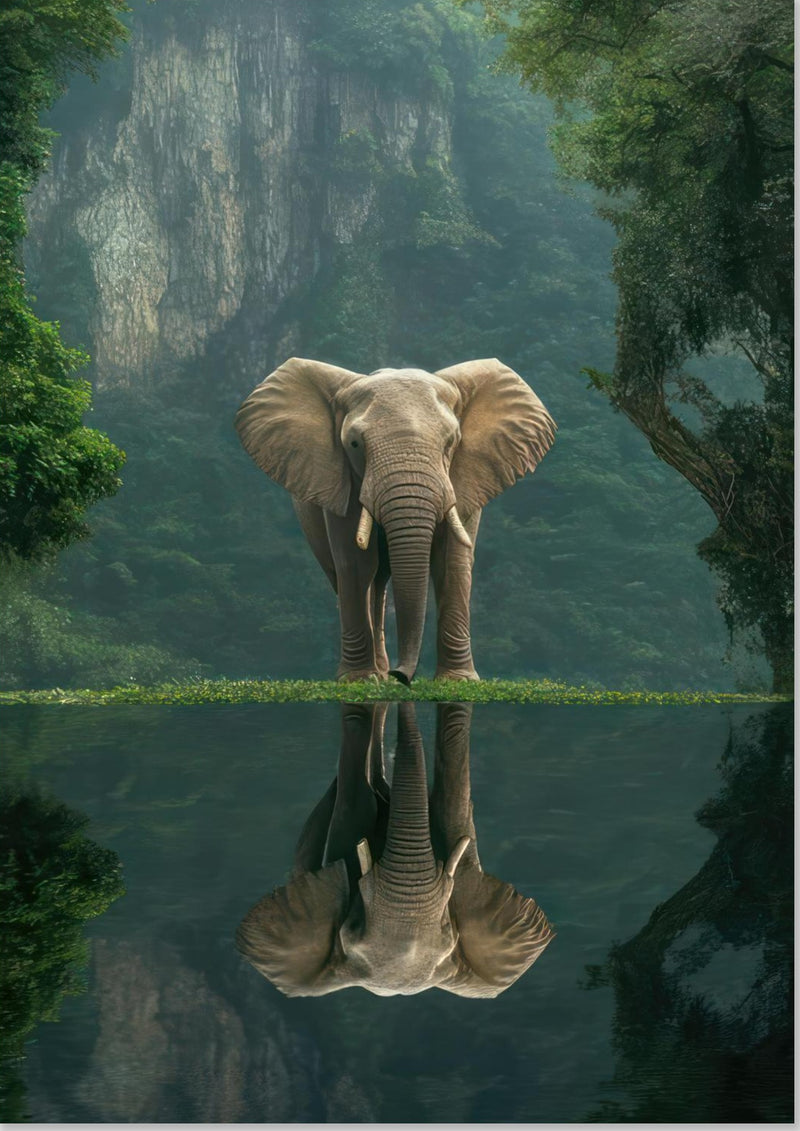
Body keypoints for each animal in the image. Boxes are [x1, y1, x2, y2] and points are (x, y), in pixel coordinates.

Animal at [235, 357, 556, 682]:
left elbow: (452, 561)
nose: (401, 675)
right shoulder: (341, 480)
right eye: (354, 444)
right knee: (355, 576)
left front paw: (458, 680)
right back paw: (376, 674)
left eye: (451, 442)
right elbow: (355, 563)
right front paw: (358, 681)